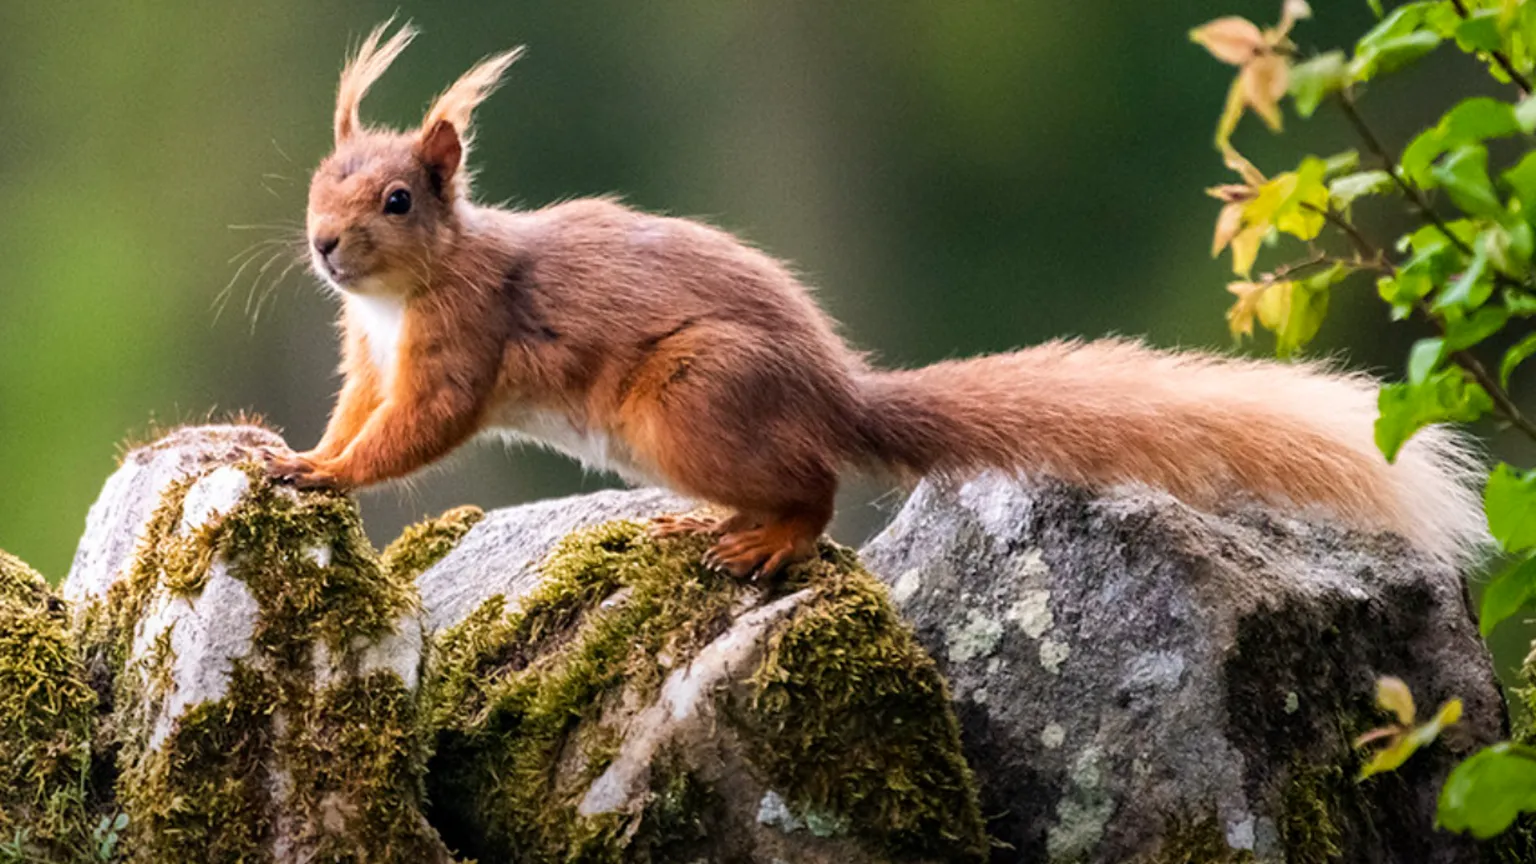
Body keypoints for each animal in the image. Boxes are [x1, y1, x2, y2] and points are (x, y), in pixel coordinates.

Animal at [265, 21, 1486, 577]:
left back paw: (765, 540)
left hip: (694, 400)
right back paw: (712, 524)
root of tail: (837, 396)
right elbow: (357, 411)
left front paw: (322, 474)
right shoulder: (368, 352)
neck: (398, 299)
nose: (324, 246)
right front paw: (296, 447)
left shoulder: (463, 340)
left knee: (814, 490)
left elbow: (417, 429)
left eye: (399, 198)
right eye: (317, 182)